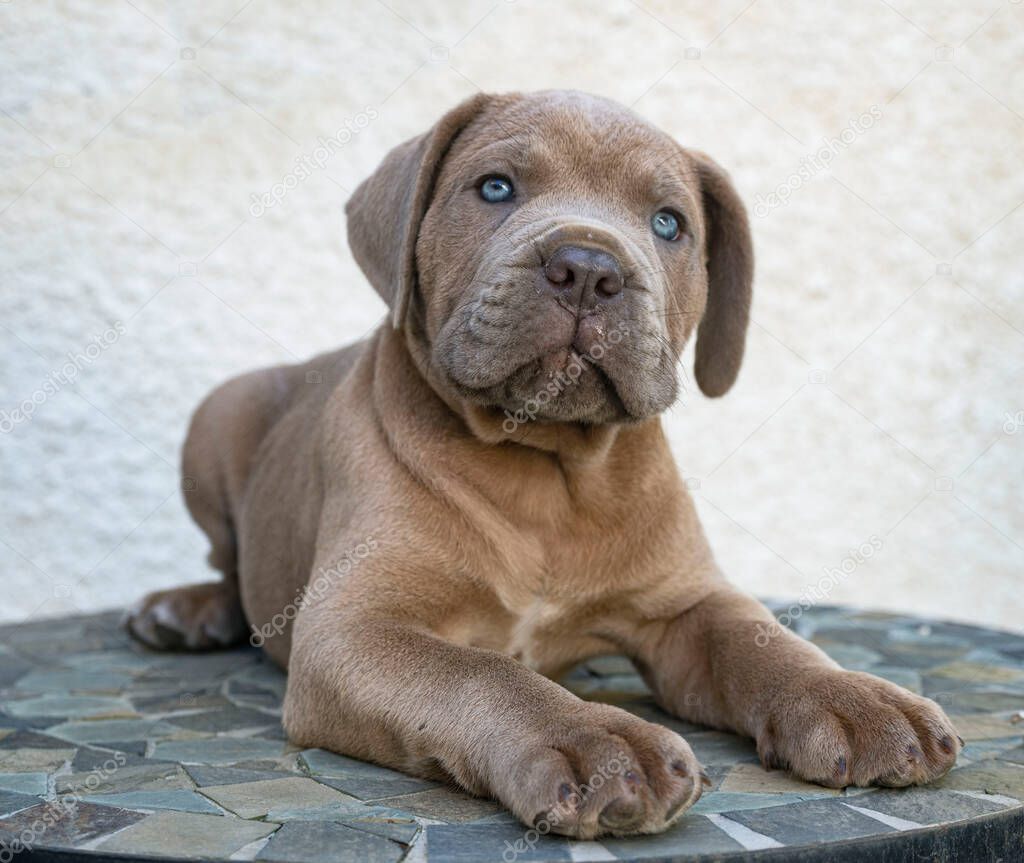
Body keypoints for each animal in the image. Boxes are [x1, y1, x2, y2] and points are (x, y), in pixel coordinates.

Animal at [125, 89, 958, 835]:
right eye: (495, 187)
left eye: (669, 222)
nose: (587, 267)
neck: (545, 467)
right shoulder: (355, 627)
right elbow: (481, 672)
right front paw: (594, 740)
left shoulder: (687, 602)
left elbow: (762, 640)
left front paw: (855, 697)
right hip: (217, 417)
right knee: (228, 556)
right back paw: (190, 610)